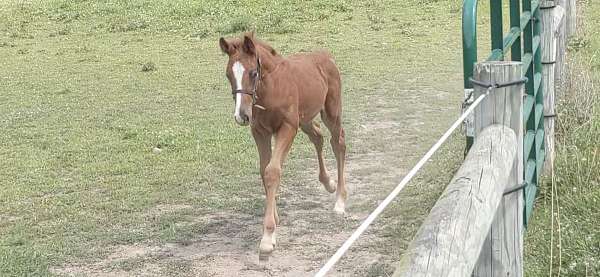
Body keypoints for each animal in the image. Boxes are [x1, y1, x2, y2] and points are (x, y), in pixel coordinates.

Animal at [219, 33, 346, 258]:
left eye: (253, 73)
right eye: (228, 75)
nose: (242, 116)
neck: (271, 88)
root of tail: (326, 56)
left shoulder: (287, 128)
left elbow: (273, 171)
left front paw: (267, 237)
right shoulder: (260, 132)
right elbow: (265, 170)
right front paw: (275, 222)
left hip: (330, 112)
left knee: (338, 142)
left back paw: (340, 200)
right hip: (304, 120)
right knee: (318, 137)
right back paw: (328, 183)